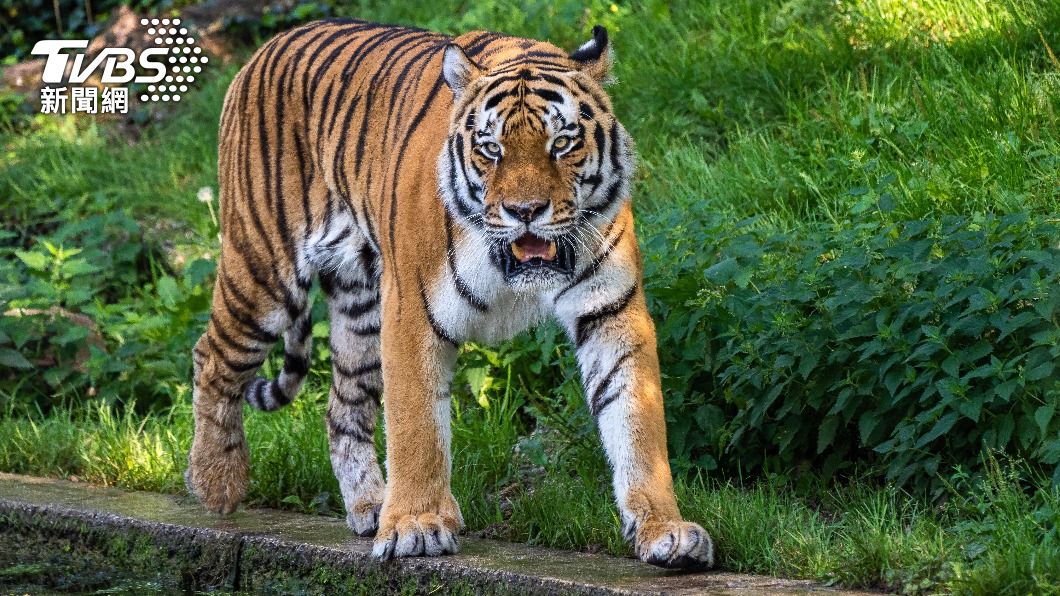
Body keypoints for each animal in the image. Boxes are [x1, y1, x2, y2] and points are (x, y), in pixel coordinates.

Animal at [185, 18, 714, 569]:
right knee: (211, 356)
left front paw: (665, 530)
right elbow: (416, 425)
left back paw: (370, 506)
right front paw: (415, 526)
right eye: (491, 148)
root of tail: (268, 47)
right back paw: (217, 483)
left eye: (562, 143)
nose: (526, 211)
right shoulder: (411, 312)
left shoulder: (611, 311)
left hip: (359, 309)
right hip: (265, 271)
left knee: (342, 407)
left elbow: (638, 420)